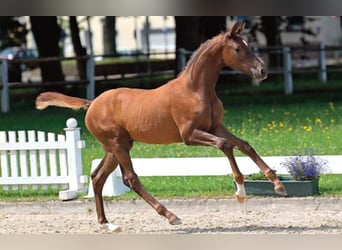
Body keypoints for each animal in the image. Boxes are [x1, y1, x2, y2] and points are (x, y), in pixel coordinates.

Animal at [35, 22, 286, 232]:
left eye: (248, 45)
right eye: (237, 49)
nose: (262, 71)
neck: (195, 90)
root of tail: (92, 103)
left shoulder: (216, 127)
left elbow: (244, 145)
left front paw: (277, 185)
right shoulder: (189, 135)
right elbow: (225, 146)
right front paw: (241, 192)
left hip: (116, 147)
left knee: (98, 178)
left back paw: (107, 224)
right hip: (118, 145)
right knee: (130, 178)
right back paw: (170, 215)